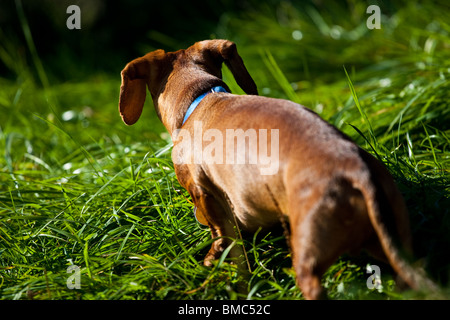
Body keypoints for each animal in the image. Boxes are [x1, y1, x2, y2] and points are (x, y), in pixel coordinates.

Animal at [118, 40, 436, 300]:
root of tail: (358, 173)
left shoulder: (202, 191)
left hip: (308, 249)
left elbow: (222, 234)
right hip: (397, 240)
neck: (202, 97)